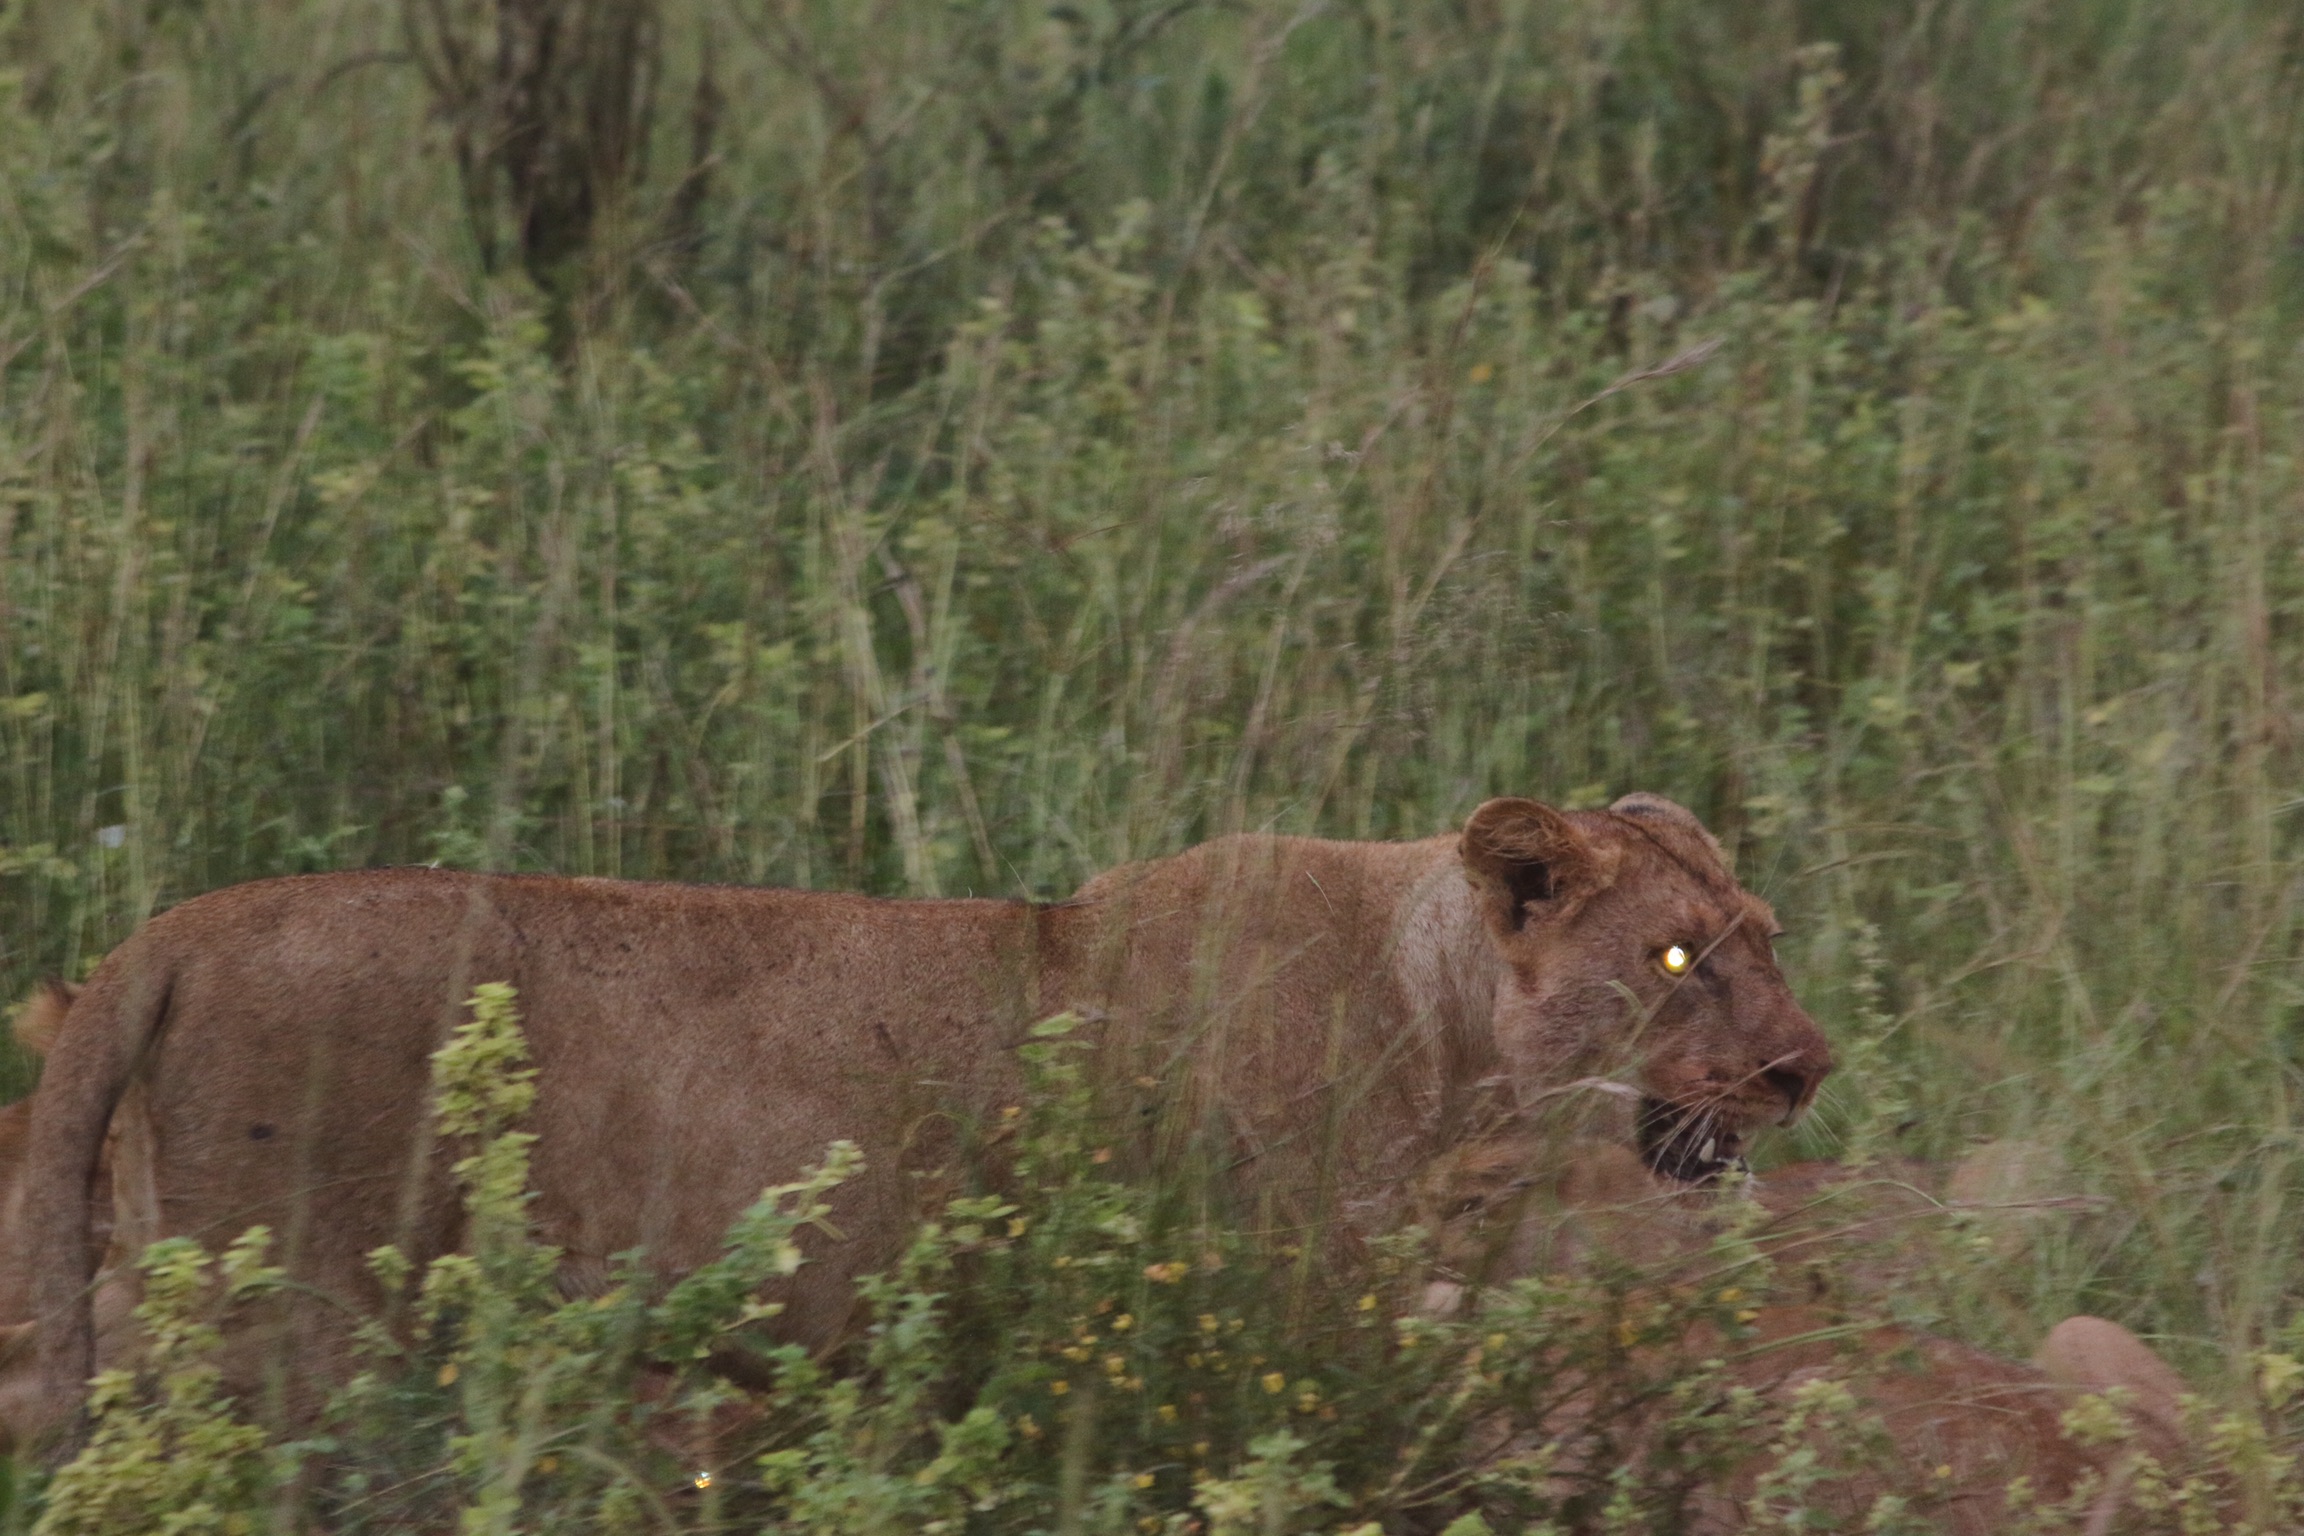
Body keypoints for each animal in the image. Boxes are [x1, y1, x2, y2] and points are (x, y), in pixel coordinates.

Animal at [16, 792, 1829, 1446]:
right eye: (1675, 956)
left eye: (1763, 929)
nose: (1808, 1066)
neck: (1447, 1036)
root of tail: (169, 931)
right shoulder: (1275, 1330)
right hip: (304, 1334)